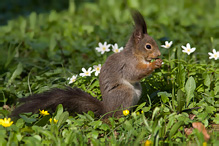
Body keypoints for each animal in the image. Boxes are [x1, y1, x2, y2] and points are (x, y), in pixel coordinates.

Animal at [11, 11, 163, 118]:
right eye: (148, 46)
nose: (159, 54)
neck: (135, 54)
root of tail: (107, 110)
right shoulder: (127, 64)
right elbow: (134, 73)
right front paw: (154, 64)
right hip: (124, 92)